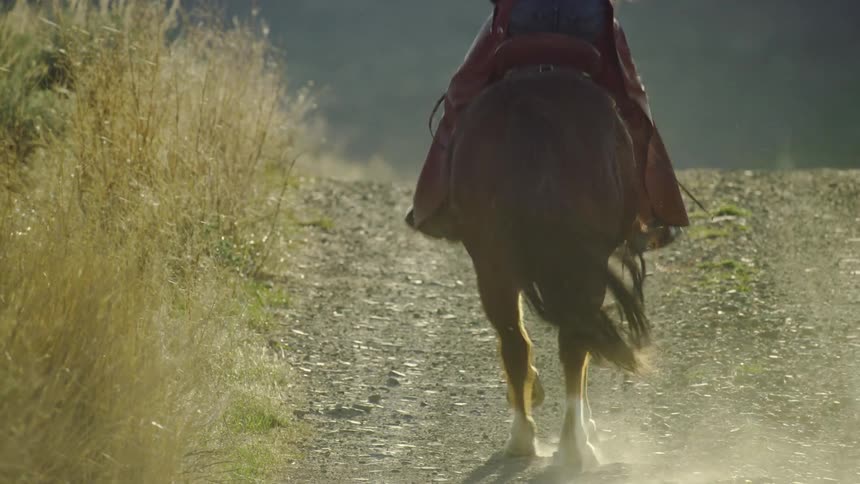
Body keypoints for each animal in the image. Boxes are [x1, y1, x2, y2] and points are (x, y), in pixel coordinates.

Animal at [447, 38, 651, 470]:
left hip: (493, 260)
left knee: (515, 338)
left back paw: (523, 436)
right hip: (579, 262)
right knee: (575, 342)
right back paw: (574, 446)